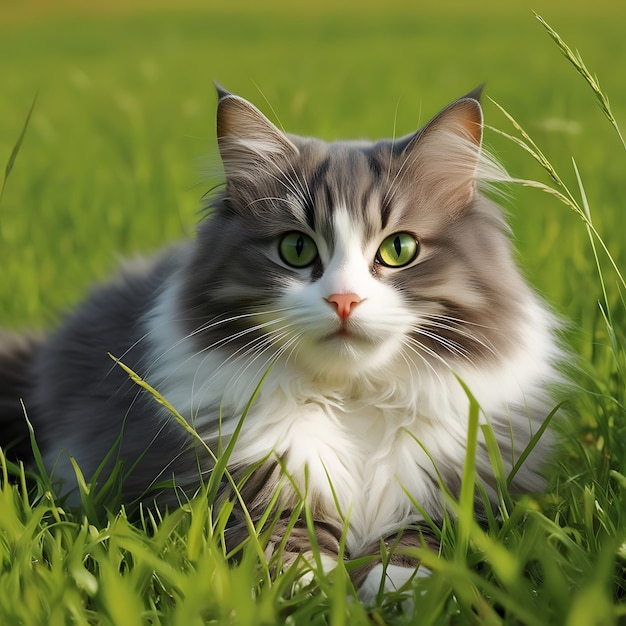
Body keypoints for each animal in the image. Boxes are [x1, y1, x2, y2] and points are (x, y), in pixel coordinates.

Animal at [0, 83, 564, 596]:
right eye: (296, 249)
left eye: (399, 249)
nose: (344, 300)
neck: (352, 398)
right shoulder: (251, 482)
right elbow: (290, 553)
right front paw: (318, 594)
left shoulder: (448, 486)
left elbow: (415, 550)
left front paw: (399, 593)